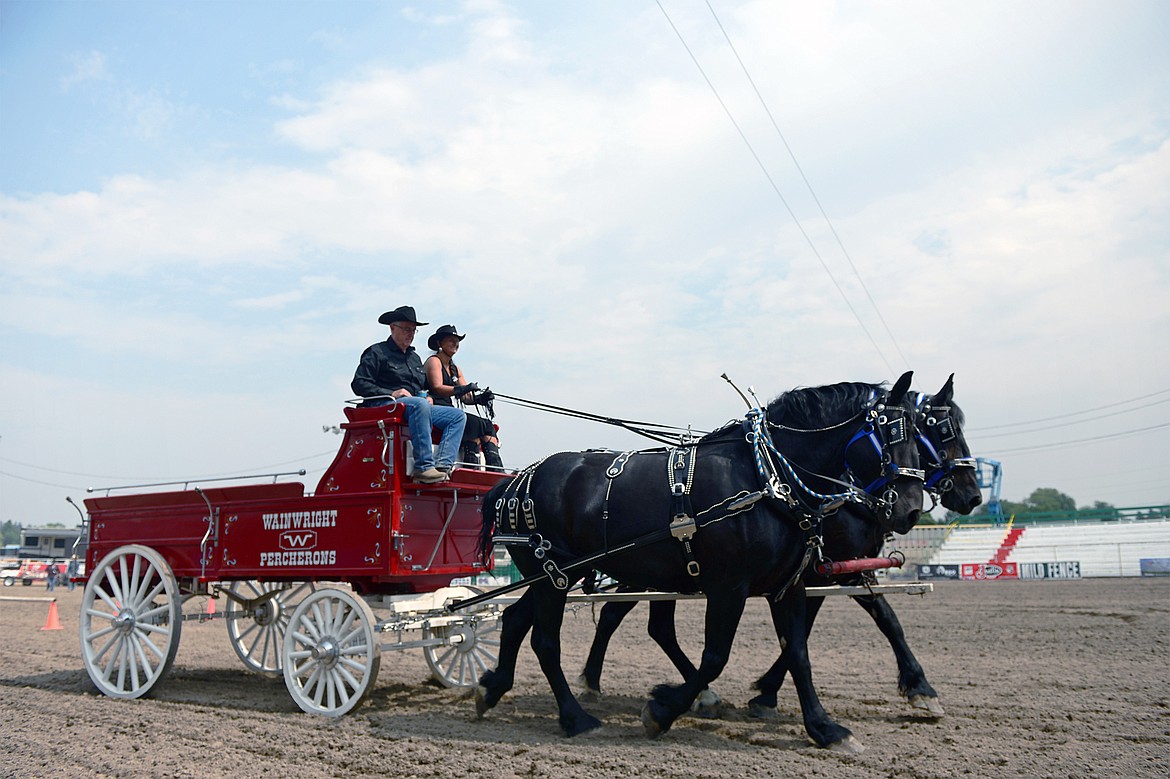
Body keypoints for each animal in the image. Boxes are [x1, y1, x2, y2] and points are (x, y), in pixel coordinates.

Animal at [472, 374, 921, 748]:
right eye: (892, 431)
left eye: (921, 432)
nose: (911, 509)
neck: (766, 479)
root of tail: (514, 480)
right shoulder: (729, 587)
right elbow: (716, 657)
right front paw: (662, 710)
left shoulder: (788, 586)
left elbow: (798, 651)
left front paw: (824, 727)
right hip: (553, 576)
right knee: (546, 642)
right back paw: (576, 718)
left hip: (556, 575)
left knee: (514, 620)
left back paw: (491, 689)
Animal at [575, 374, 978, 720]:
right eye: (941, 429)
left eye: (924, 430)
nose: (971, 495)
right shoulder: (835, 570)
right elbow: (885, 619)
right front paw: (921, 689)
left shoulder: (817, 572)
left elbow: (816, 630)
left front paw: (768, 692)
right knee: (629, 619)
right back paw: (605, 683)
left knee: (646, 624)